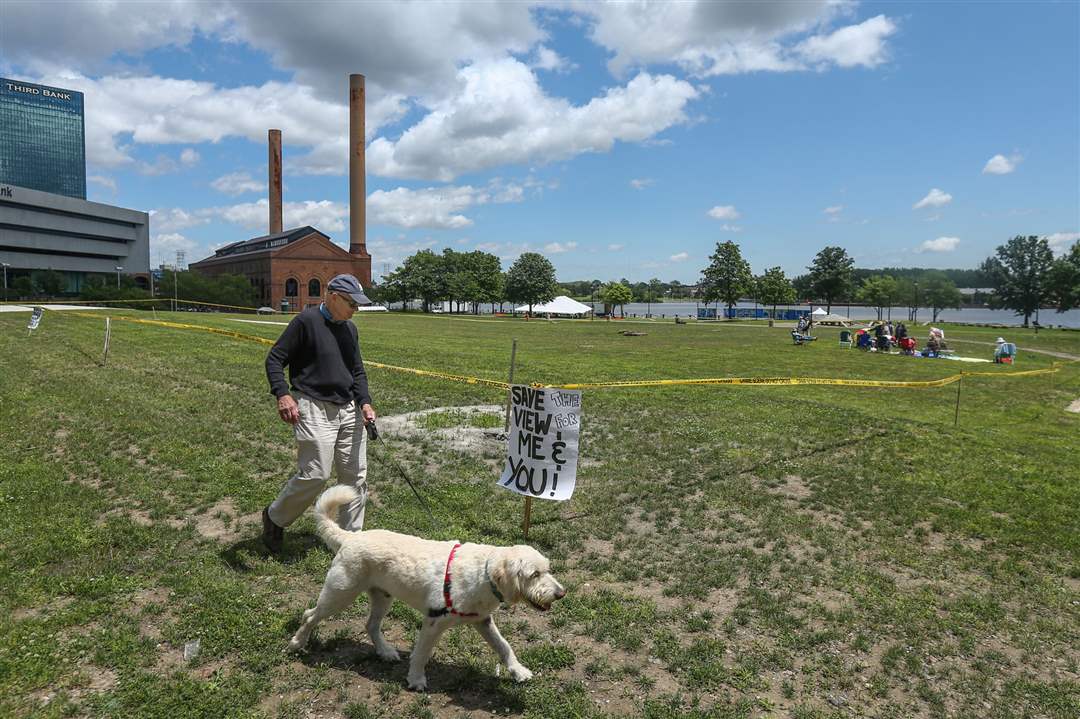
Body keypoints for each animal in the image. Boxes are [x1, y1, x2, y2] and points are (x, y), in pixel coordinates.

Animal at [291, 481, 570, 690]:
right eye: (534, 574)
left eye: (548, 569)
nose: (561, 593)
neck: (483, 572)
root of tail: (350, 537)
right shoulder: (434, 621)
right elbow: (422, 653)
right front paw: (415, 679)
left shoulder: (482, 620)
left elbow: (504, 646)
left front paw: (518, 671)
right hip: (340, 594)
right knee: (309, 615)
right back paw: (296, 643)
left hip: (383, 596)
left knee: (370, 625)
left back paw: (386, 652)